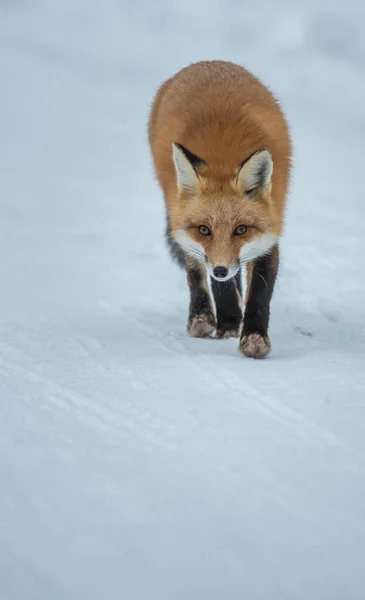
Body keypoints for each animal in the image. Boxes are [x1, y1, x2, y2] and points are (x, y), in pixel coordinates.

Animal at [147, 61, 290, 358]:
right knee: (195, 271)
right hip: (176, 215)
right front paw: (229, 322)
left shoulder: (270, 231)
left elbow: (259, 293)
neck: (223, 159)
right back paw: (202, 317)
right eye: (204, 230)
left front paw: (254, 337)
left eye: (241, 229)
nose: (222, 270)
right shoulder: (200, 244)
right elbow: (216, 283)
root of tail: (208, 63)